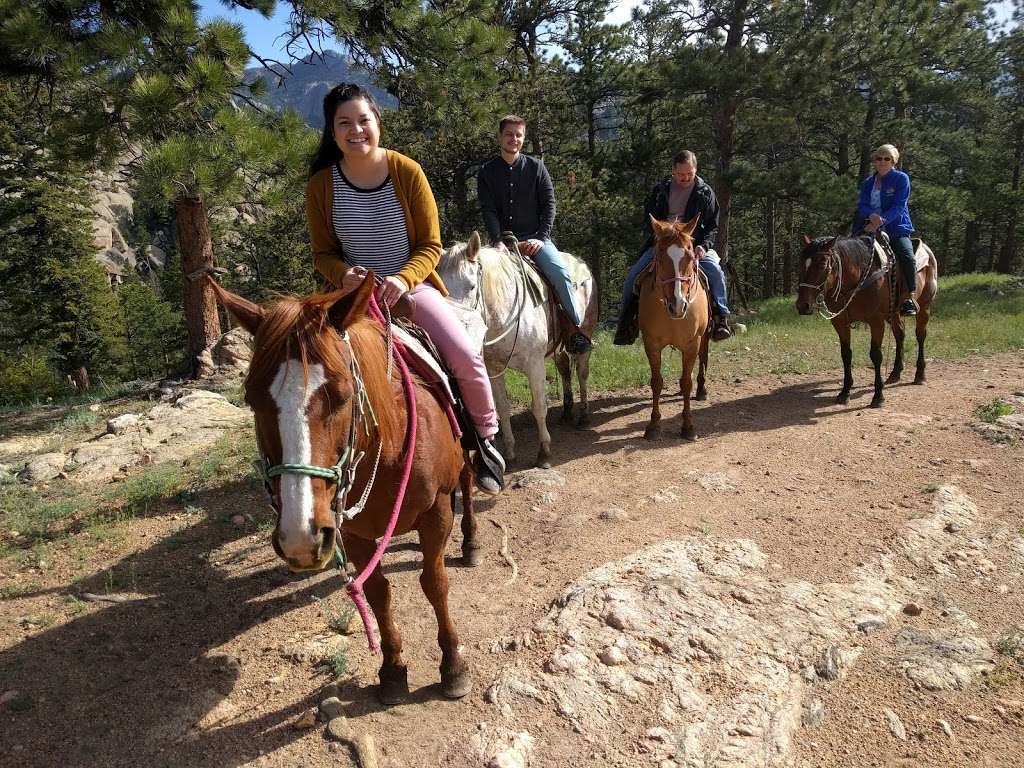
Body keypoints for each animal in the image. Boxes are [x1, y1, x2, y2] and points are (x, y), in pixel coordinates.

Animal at [210, 274, 479, 704]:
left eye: (341, 394)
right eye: (252, 398)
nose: (300, 537)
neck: (386, 449)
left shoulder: (436, 511)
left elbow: (435, 584)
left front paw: (453, 665)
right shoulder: (351, 532)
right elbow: (377, 592)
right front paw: (392, 670)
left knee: (468, 482)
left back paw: (471, 543)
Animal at [436, 231, 598, 468]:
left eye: (472, 286)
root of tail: (581, 263)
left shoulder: (535, 366)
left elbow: (539, 407)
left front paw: (544, 453)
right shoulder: (494, 370)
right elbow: (503, 408)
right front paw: (510, 452)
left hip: (584, 336)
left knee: (582, 373)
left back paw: (584, 417)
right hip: (558, 349)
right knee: (565, 371)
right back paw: (567, 413)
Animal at [638, 215, 712, 444]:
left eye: (689, 255)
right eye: (660, 258)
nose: (678, 304)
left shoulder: (692, 344)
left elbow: (686, 382)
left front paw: (688, 426)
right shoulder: (651, 343)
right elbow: (656, 382)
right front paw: (653, 425)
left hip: (704, 338)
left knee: (703, 359)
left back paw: (702, 389)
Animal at [794, 236, 937, 409]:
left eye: (822, 264)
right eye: (801, 263)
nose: (803, 306)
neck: (858, 278)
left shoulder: (876, 322)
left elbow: (876, 355)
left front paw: (878, 396)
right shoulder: (840, 322)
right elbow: (846, 354)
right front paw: (845, 392)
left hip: (924, 307)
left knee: (920, 336)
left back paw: (920, 375)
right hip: (894, 313)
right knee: (900, 335)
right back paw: (895, 373)